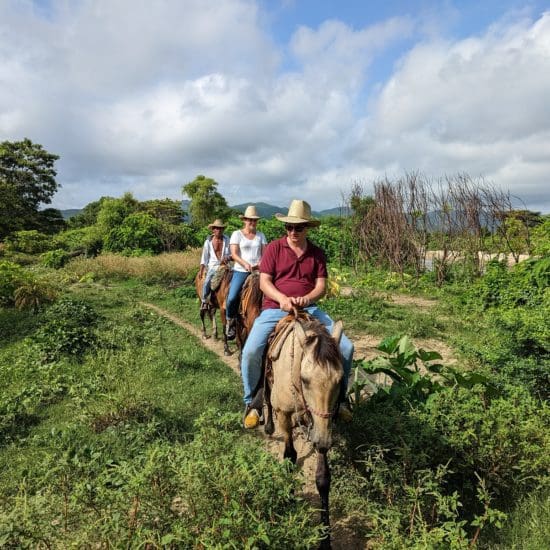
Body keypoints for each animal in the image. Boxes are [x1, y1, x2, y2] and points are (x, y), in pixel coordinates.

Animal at [264, 312, 344, 548]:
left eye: (340, 380)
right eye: (305, 380)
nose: (325, 440)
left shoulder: (321, 427)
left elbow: (323, 478)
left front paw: (325, 538)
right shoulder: (283, 414)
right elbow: (290, 457)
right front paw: (288, 498)